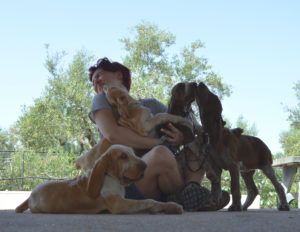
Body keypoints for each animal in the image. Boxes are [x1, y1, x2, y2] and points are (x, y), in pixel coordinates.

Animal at [15, 145, 184, 214]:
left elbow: (151, 203)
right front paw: (173, 207)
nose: (145, 166)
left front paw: (168, 207)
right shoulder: (119, 205)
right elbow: (149, 201)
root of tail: (31, 195)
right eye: (123, 156)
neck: (110, 176)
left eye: (133, 153)